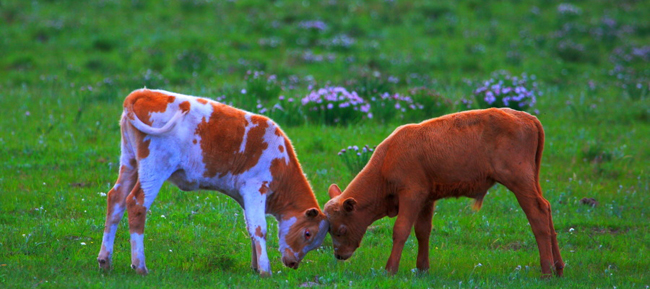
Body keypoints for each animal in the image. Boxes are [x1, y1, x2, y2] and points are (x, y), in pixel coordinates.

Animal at [96, 88, 330, 274]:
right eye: (307, 233)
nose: (293, 263)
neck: (280, 160)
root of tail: (143, 93)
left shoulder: (245, 196)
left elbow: (250, 228)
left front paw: (255, 268)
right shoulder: (255, 188)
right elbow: (260, 229)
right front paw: (265, 270)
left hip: (129, 161)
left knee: (116, 199)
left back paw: (105, 261)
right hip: (154, 168)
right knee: (136, 204)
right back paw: (140, 266)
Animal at [324, 107, 560, 276]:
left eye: (341, 230)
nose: (339, 255)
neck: (389, 156)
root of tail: (527, 117)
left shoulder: (411, 195)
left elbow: (401, 230)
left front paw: (390, 270)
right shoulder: (427, 199)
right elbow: (422, 231)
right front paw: (422, 269)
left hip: (518, 181)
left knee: (537, 213)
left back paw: (547, 272)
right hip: (531, 181)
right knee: (547, 209)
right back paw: (559, 268)